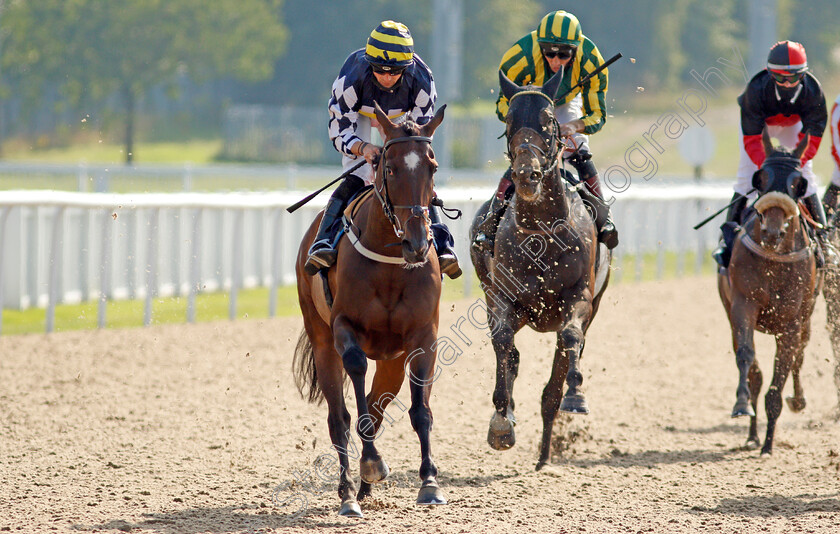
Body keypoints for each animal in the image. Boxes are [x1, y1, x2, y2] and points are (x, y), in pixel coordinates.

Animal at [292, 102, 446, 516]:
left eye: (432, 167)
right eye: (389, 168)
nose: (416, 243)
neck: (392, 264)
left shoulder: (423, 336)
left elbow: (420, 410)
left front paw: (429, 483)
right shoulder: (345, 327)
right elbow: (355, 385)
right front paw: (372, 464)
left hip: (392, 361)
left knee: (376, 410)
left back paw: (363, 488)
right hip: (321, 339)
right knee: (338, 417)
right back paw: (349, 491)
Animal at [466, 69, 612, 472]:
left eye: (547, 121)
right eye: (509, 122)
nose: (526, 175)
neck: (542, 234)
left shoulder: (580, 298)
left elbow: (570, 342)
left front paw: (576, 394)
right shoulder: (503, 298)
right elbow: (503, 343)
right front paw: (501, 422)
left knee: (560, 370)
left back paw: (547, 452)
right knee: (512, 355)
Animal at [716, 130, 820, 456]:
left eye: (798, 184)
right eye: (760, 178)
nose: (772, 232)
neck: (774, 260)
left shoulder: (792, 323)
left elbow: (783, 373)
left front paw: (769, 445)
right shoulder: (743, 306)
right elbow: (748, 360)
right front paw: (741, 406)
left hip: (807, 319)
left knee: (800, 356)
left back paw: (797, 401)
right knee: (755, 371)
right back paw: (751, 434)